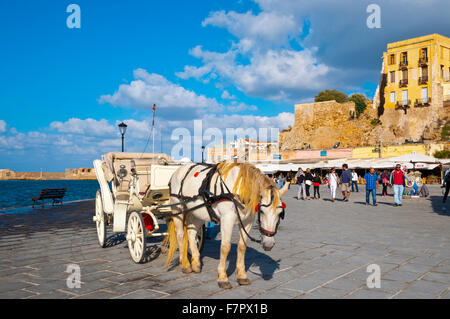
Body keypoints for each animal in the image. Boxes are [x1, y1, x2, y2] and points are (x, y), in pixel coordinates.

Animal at [164, 162, 288, 290]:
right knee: (180, 234)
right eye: (262, 211)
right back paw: (185, 264)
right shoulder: (227, 219)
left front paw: (242, 276)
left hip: (199, 212)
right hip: (177, 208)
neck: (239, 191)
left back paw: (196, 263)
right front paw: (222, 278)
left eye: (280, 213)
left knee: (191, 232)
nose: (268, 244)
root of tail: (178, 169)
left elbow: (242, 247)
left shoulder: (247, 221)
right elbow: (225, 247)